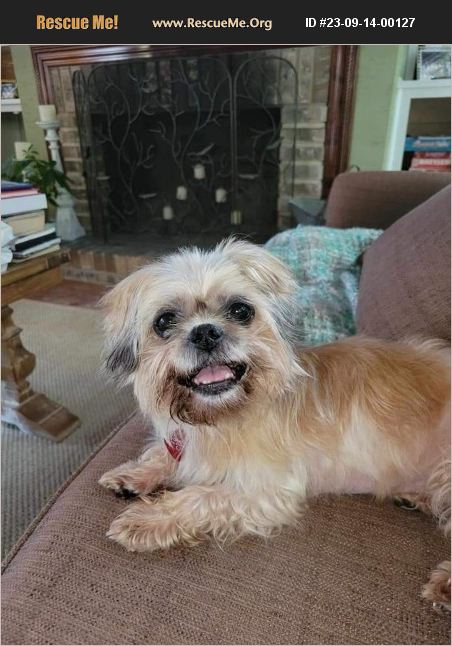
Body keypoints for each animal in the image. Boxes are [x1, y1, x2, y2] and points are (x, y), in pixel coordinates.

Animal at [99, 238, 451, 609]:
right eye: (164, 321)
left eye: (241, 311)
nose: (205, 333)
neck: (220, 418)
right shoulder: (181, 442)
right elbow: (160, 454)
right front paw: (132, 475)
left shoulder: (269, 492)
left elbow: (199, 497)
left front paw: (146, 519)